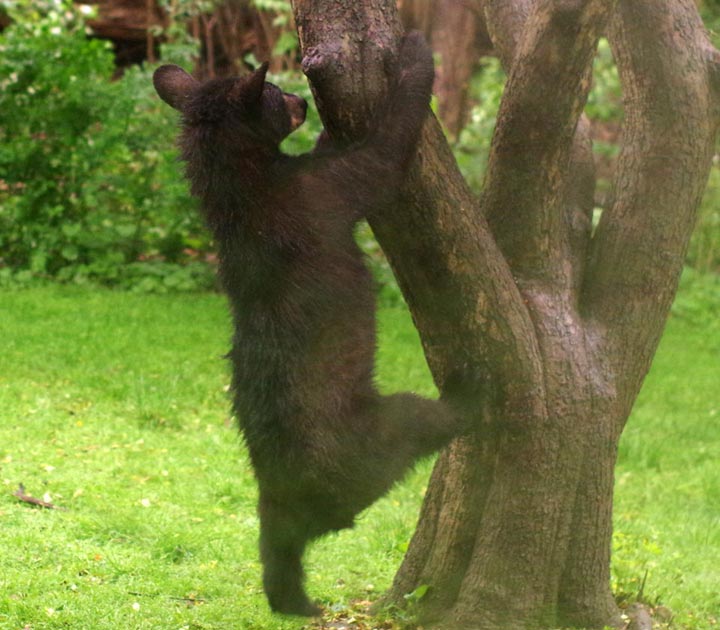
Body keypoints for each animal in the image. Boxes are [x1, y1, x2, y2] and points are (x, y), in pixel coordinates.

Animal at [153, 32, 464, 617]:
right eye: (275, 92)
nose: (300, 99)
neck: (242, 191)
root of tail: (285, 498)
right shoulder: (334, 184)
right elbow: (387, 143)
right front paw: (415, 52)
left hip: (274, 528)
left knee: (278, 561)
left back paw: (298, 602)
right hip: (389, 426)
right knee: (436, 420)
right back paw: (481, 394)